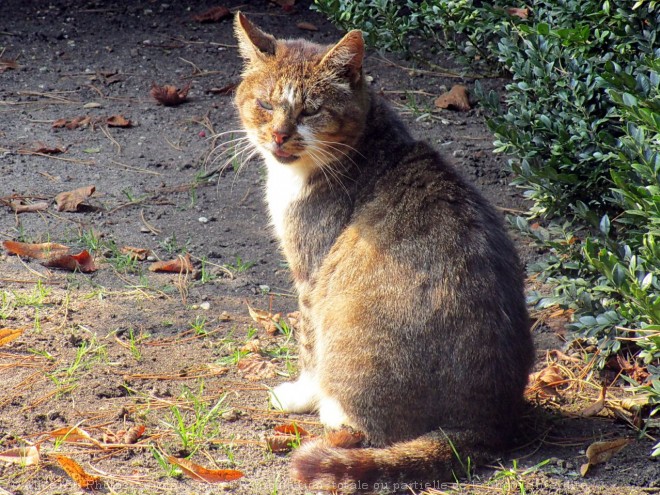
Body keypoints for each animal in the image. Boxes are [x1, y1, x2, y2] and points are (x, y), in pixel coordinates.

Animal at [231, 12, 532, 495]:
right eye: (263, 104)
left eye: (310, 110)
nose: (278, 135)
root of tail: (481, 427)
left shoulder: (311, 275)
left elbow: (308, 346)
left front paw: (299, 394)